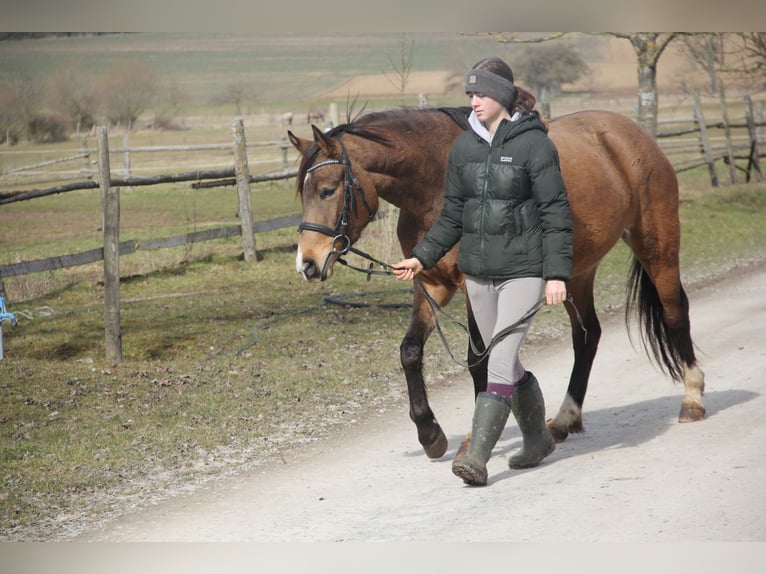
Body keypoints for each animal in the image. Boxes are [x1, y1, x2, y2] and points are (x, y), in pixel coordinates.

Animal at [288, 106, 708, 462]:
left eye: (327, 189)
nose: (307, 263)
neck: (437, 180)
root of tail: (631, 133)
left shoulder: (476, 287)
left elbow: (479, 360)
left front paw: (473, 441)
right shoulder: (431, 284)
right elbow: (410, 352)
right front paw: (430, 433)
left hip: (657, 246)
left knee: (675, 312)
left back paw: (692, 399)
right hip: (576, 274)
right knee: (587, 337)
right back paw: (564, 419)